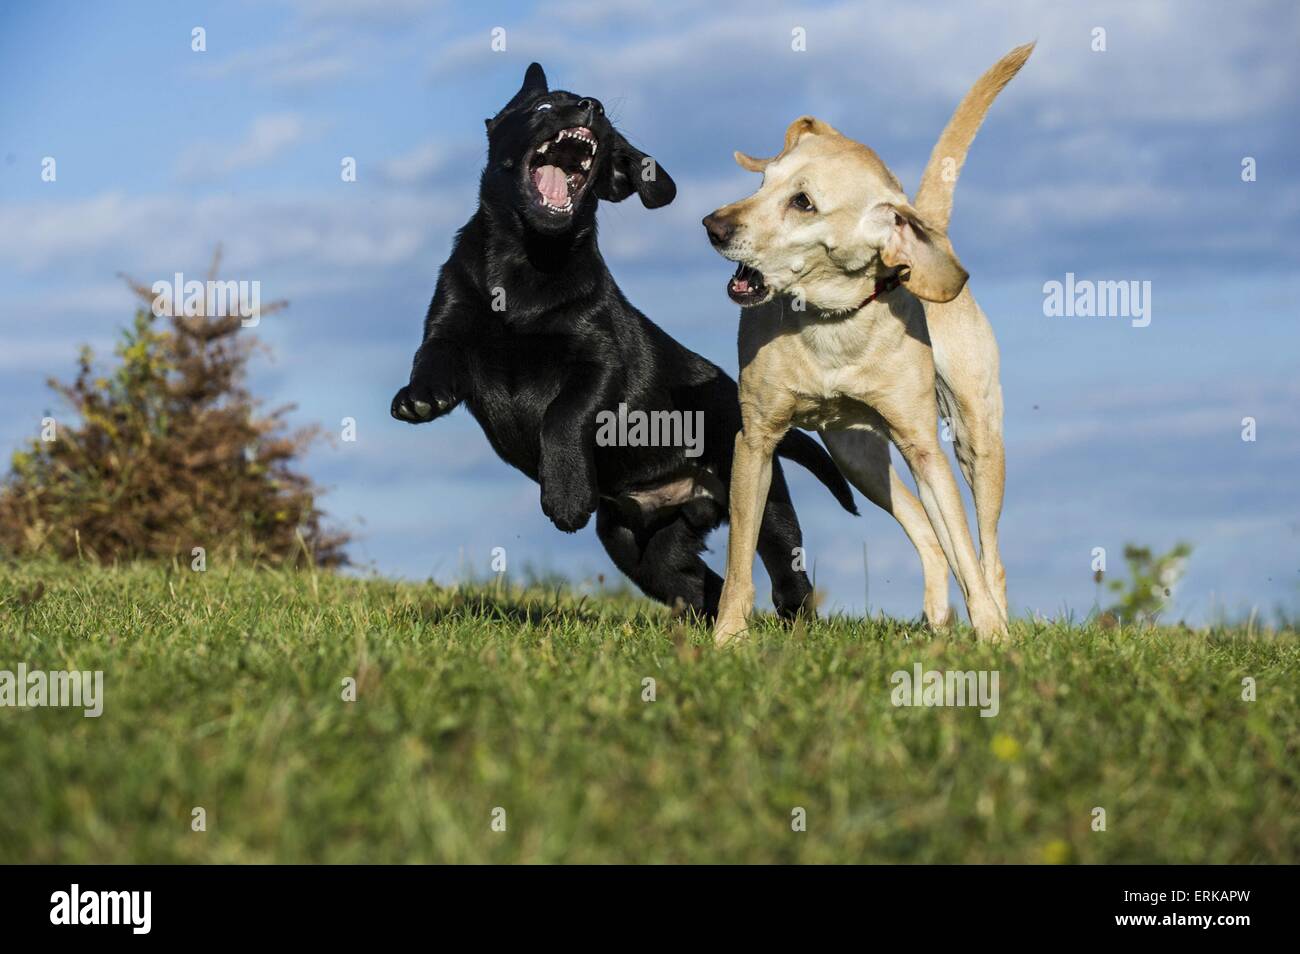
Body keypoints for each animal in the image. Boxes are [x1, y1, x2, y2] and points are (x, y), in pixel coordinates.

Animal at [387, 67, 852, 621]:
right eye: (542, 107)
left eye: (605, 119)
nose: (592, 105)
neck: (529, 259)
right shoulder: (450, 324)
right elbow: (431, 357)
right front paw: (418, 398)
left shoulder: (600, 362)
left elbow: (563, 414)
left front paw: (566, 497)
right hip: (641, 547)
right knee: (700, 586)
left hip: (762, 497)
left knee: (787, 572)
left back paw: (792, 626)